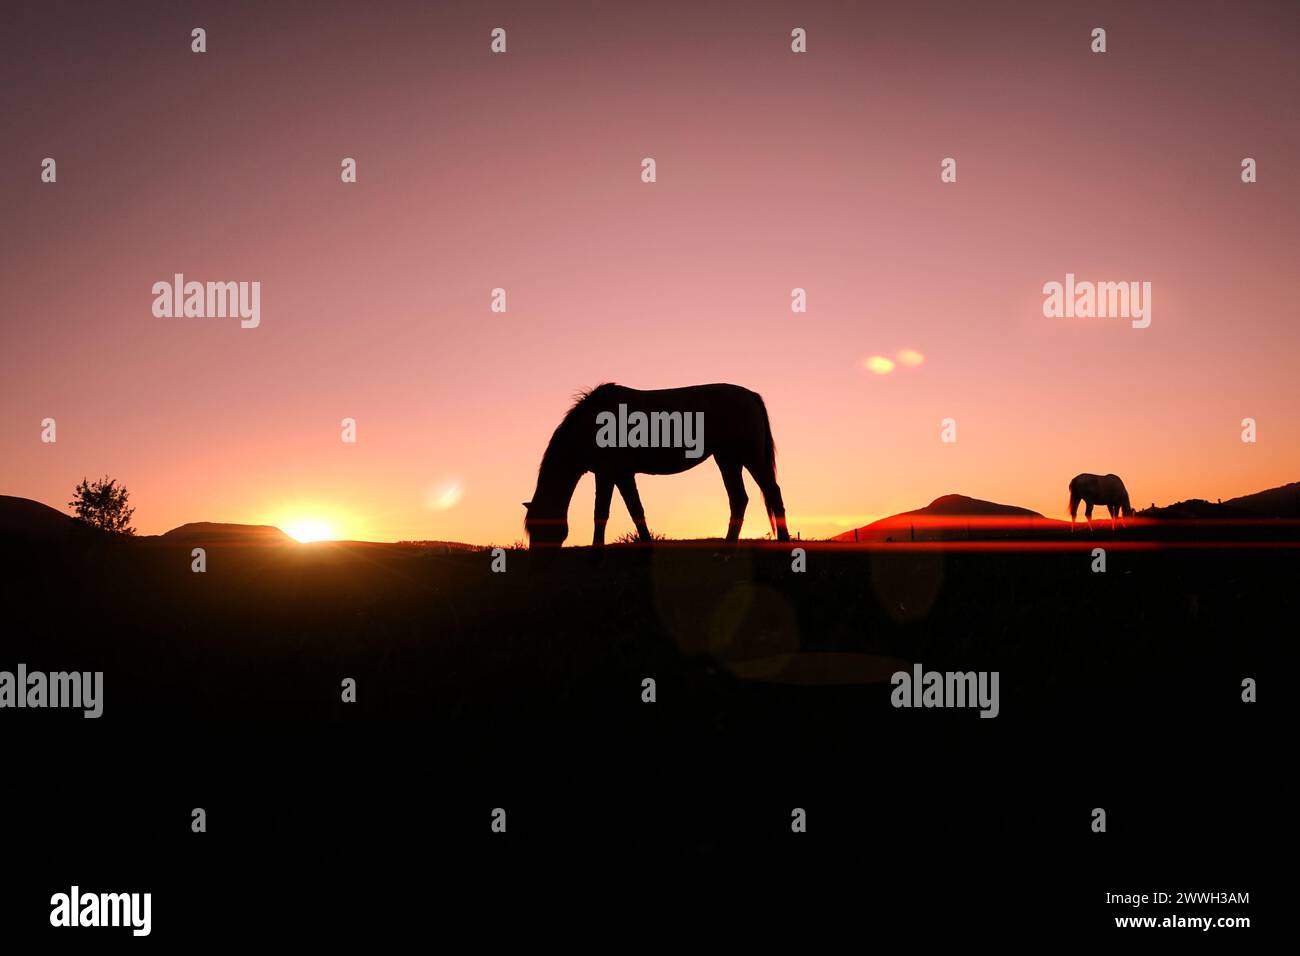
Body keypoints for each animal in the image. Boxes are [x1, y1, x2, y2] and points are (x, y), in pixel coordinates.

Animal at [522, 379, 785, 546]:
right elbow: (635, 510)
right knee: (739, 498)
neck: (591, 425)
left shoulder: (607, 473)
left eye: (539, 528)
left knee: (772, 492)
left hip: (749, 456)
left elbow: (601, 513)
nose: (537, 564)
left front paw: (596, 558)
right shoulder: (621, 474)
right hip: (728, 459)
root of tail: (750, 395)